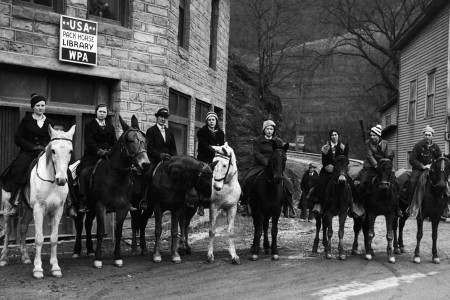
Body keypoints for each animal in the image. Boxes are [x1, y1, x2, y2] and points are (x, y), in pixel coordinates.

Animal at [0, 125, 75, 278]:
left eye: (70, 151)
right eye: (53, 150)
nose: (62, 180)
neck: (52, 181)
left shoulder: (57, 211)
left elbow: (53, 238)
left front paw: (55, 268)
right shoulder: (39, 210)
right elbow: (39, 238)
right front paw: (38, 269)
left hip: (29, 209)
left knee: (22, 226)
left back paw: (25, 256)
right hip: (7, 207)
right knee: (8, 229)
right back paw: (4, 258)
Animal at [72, 115, 149, 270]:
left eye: (144, 140)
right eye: (131, 140)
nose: (145, 164)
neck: (115, 176)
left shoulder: (123, 208)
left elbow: (118, 232)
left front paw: (117, 257)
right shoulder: (101, 206)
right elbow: (100, 231)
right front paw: (98, 259)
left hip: (92, 209)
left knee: (88, 224)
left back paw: (89, 250)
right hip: (81, 206)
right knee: (79, 225)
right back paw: (77, 251)